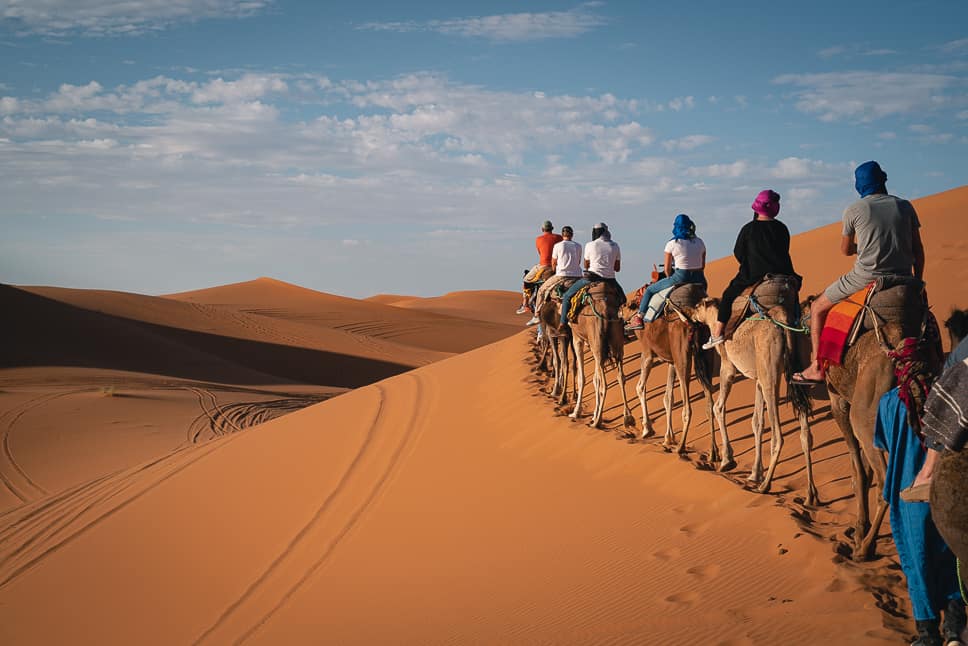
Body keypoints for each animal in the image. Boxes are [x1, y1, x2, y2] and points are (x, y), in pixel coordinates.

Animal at [568, 284, 636, 430]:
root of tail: (605, 312)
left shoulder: (578, 339)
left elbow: (583, 378)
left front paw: (576, 412)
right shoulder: (592, 344)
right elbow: (595, 379)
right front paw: (593, 414)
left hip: (597, 340)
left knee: (604, 383)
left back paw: (597, 422)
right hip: (615, 342)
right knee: (620, 376)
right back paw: (628, 417)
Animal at [620, 294, 720, 460]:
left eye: (626, 305)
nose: (618, 311)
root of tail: (693, 324)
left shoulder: (647, 353)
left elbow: (640, 387)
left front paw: (647, 429)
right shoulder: (671, 362)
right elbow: (668, 397)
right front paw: (668, 438)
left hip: (683, 360)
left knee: (687, 408)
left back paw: (681, 448)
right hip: (705, 356)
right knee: (709, 403)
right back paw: (715, 453)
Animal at [688, 298, 816, 506]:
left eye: (698, 305)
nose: (690, 311)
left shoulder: (728, 367)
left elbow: (718, 407)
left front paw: (727, 461)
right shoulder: (757, 379)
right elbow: (757, 422)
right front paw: (755, 473)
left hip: (770, 373)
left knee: (778, 435)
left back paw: (765, 486)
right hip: (797, 369)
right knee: (805, 433)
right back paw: (810, 495)